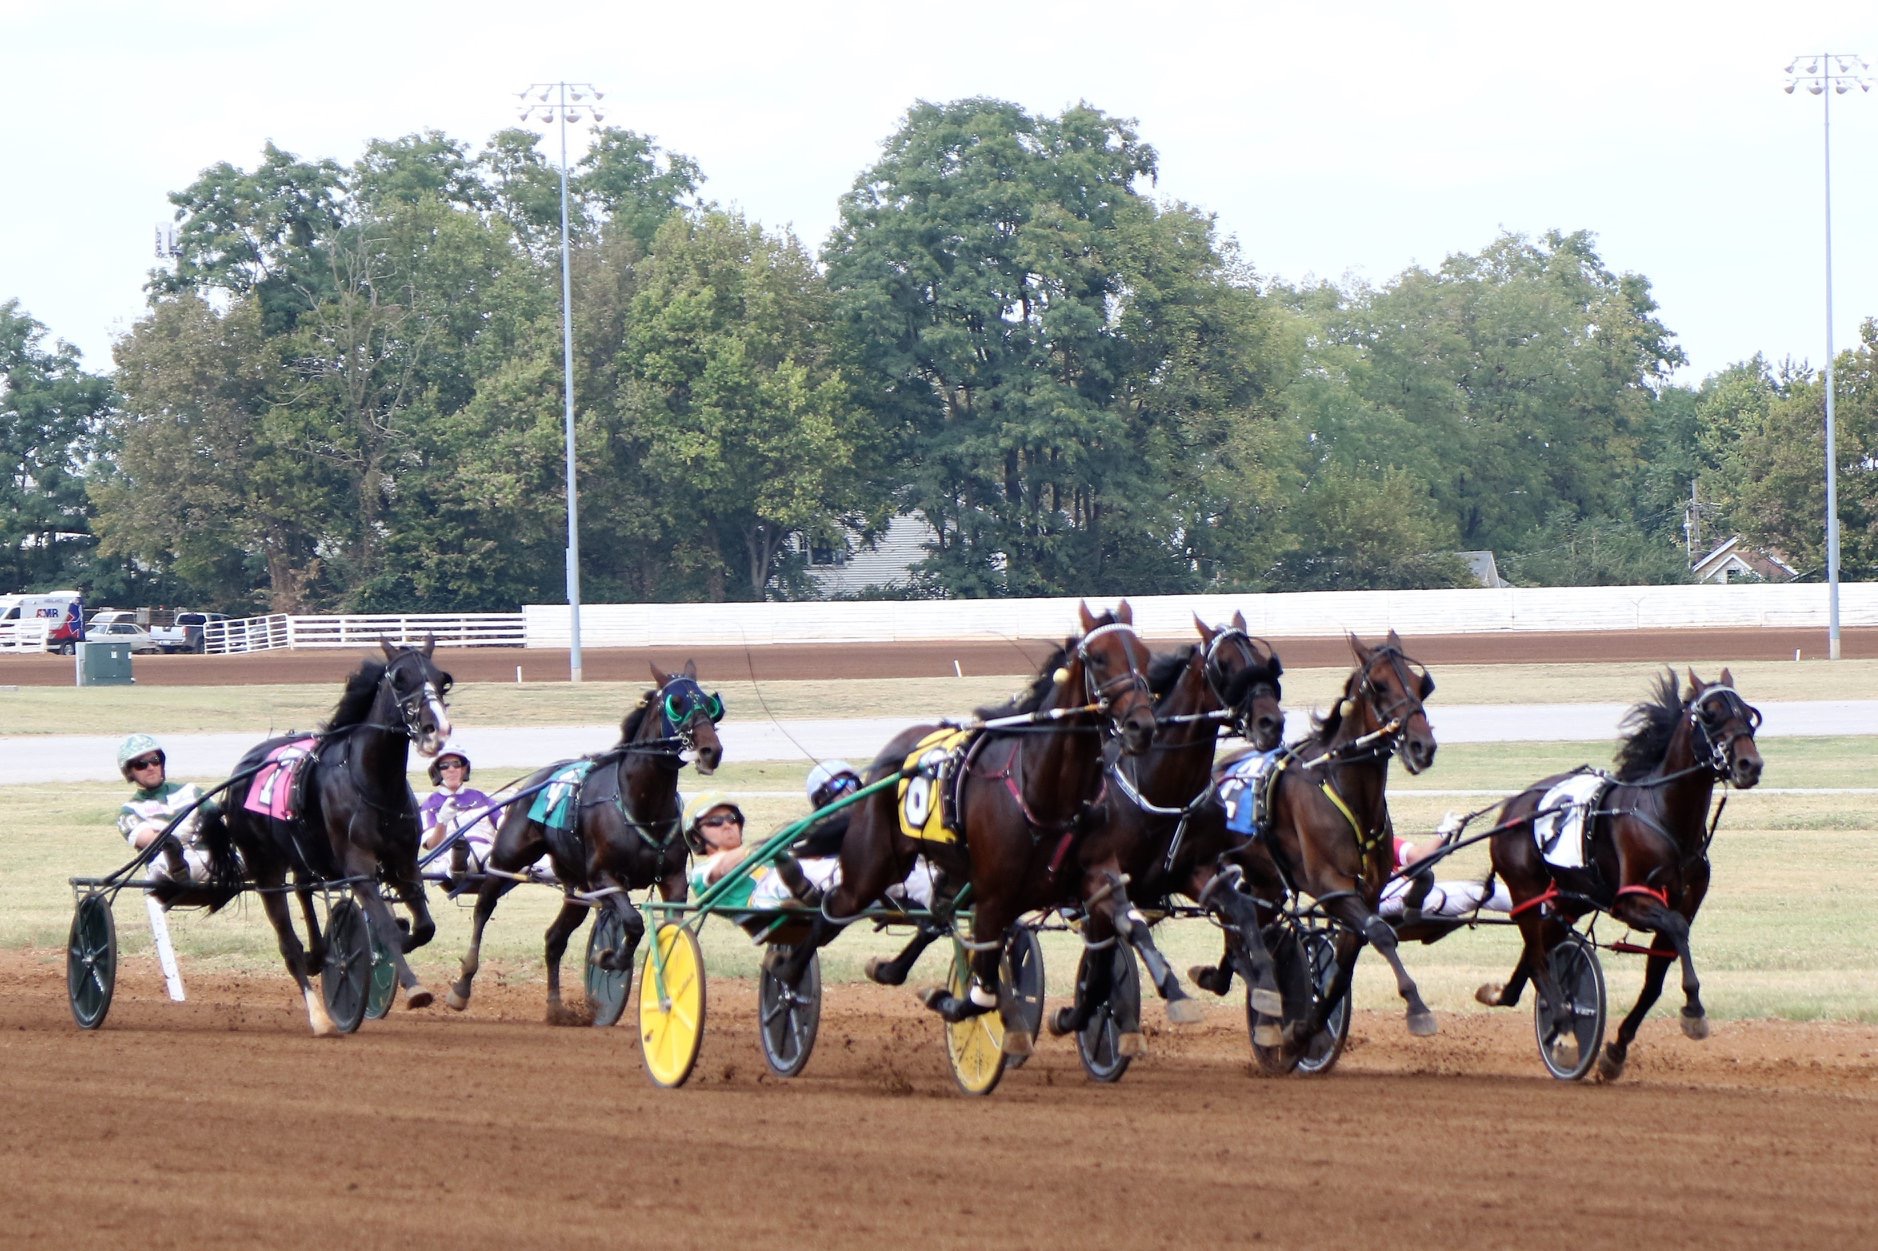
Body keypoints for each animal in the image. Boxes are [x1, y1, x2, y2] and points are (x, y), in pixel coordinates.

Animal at [195, 640, 453, 1036]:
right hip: (265, 869)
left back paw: (318, 955)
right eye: (399, 678)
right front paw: (413, 986)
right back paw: (318, 1014)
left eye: (442, 680)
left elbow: (424, 926)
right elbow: (383, 926)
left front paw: (403, 933)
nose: (434, 729)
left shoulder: (403, 862)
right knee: (287, 942)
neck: (372, 782)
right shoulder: (358, 866)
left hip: (302, 856)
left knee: (303, 892)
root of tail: (241, 771)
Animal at [446, 663, 724, 1023]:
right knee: (483, 906)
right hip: (508, 857)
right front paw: (609, 958)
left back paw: (555, 1007)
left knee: (554, 938)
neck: (640, 806)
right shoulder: (604, 877)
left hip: (576, 888)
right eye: (676, 703)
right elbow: (633, 923)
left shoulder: (673, 879)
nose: (710, 750)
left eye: (711, 702)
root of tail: (540, 776)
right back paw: (462, 986)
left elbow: (671, 927)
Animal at [769, 601, 1168, 1056]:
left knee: (935, 915)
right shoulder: (996, 894)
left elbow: (1111, 944)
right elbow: (982, 992)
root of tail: (893, 754)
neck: (1042, 787)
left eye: (1145, 656)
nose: (1142, 726)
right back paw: (787, 973)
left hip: (951, 871)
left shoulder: (1092, 878)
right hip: (873, 865)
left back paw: (887, 968)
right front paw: (959, 1006)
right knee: (833, 910)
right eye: (1098, 658)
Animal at [1188, 630, 1441, 1051]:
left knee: (1248, 921)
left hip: (1266, 880)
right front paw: (1417, 1007)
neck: (1345, 789)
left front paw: (1306, 1029)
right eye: (1379, 685)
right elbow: (1380, 933)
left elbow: (1343, 969)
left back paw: (1232, 978)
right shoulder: (1331, 887)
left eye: (1422, 684)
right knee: (1231, 915)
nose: (1423, 746)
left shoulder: (1365, 892)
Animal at [1477, 668, 1762, 1081]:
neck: (1666, 817)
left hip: (1570, 899)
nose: (1749, 765)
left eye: (1749, 714)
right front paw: (1693, 1009)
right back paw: (1563, 1023)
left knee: (1539, 947)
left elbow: (1657, 975)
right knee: (1538, 953)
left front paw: (1616, 1050)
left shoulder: (1685, 900)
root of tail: (1513, 807)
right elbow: (1676, 929)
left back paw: (1506, 994)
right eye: (1709, 714)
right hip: (1527, 890)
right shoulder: (1630, 902)